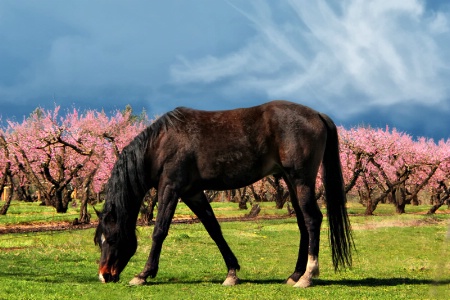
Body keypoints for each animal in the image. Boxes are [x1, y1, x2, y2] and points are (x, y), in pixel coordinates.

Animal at [95, 100, 354, 288]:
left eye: (112, 238)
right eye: (99, 241)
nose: (104, 275)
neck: (161, 143)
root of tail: (317, 114)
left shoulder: (170, 188)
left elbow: (160, 231)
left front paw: (143, 274)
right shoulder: (193, 193)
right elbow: (214, 229)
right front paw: (231, 273)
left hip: (301, 181)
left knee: (312, 220)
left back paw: (308, 276)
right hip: (291, 182)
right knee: (302, 224)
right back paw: (295, 274)